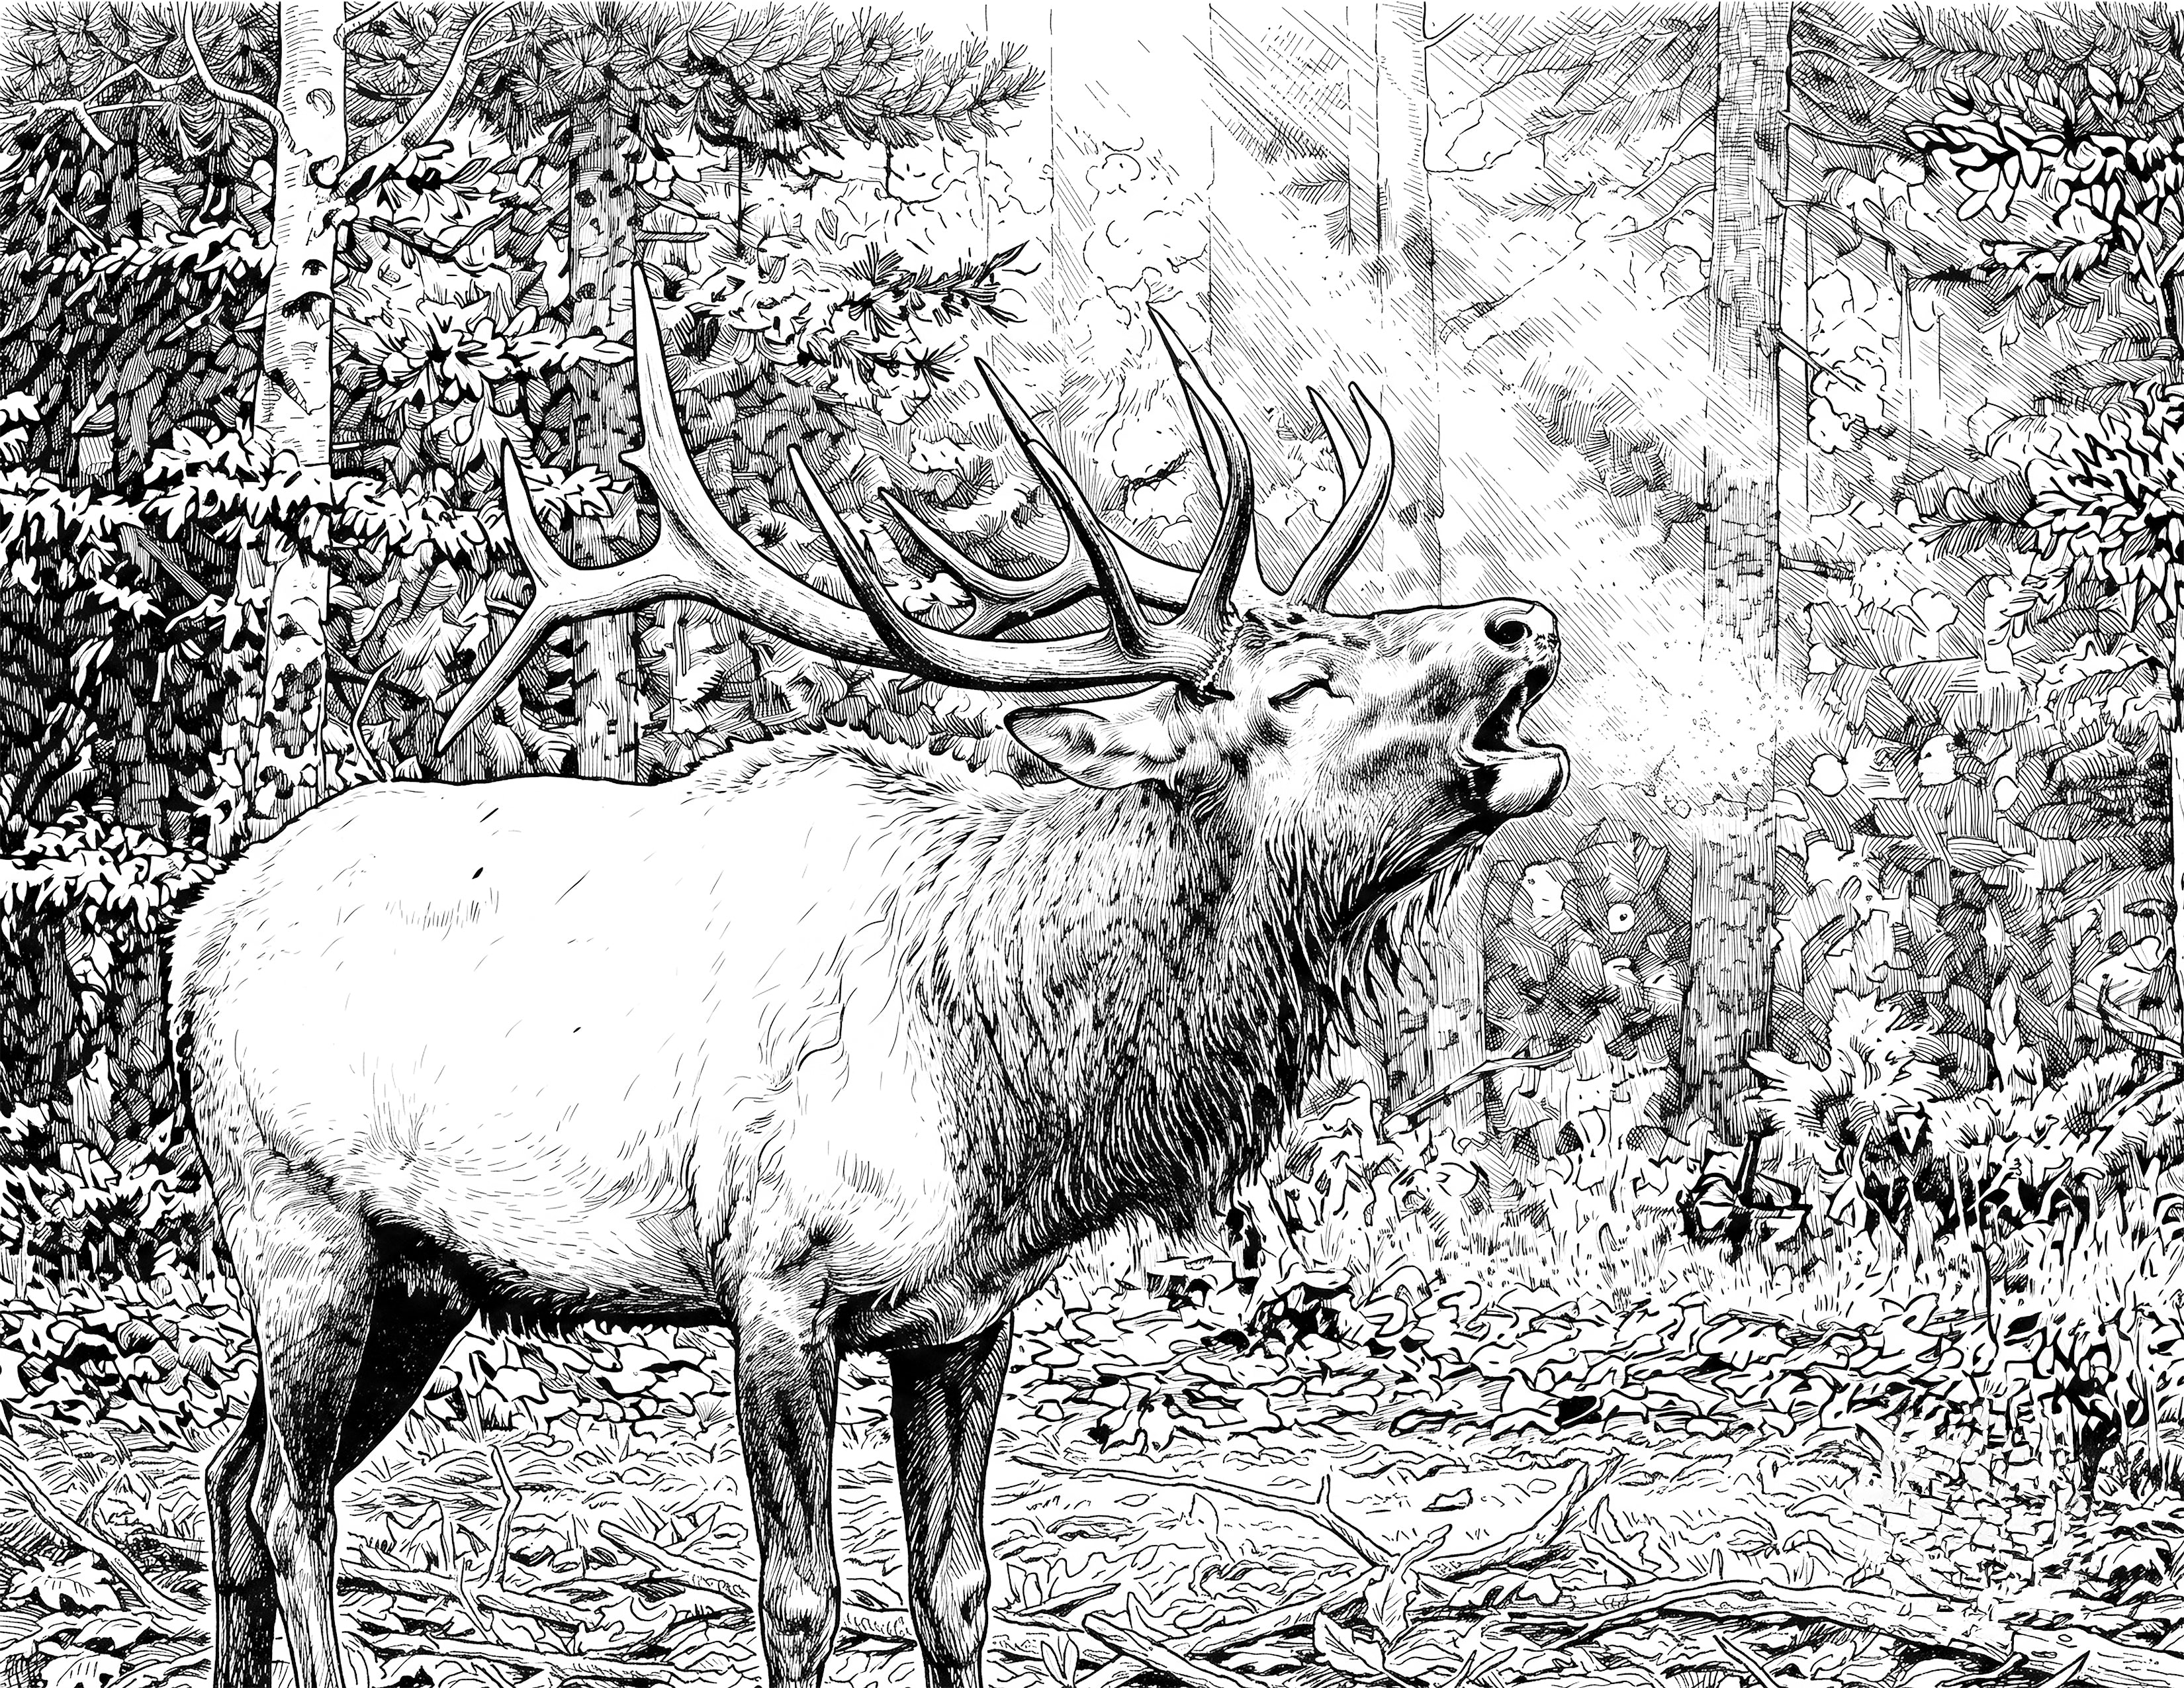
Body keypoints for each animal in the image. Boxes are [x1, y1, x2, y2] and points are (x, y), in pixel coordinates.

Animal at [170, 271, 1567, 1688]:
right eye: (1302, 682)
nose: (1525, 619)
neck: (1005, 1085)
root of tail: (197, 935)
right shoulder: (779, 1281)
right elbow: (800, 1597)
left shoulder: (965, 1315)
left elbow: (956, 1589)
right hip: (299, 1227)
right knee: (291, 1503)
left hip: (423, 1279)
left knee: (228, 1482)